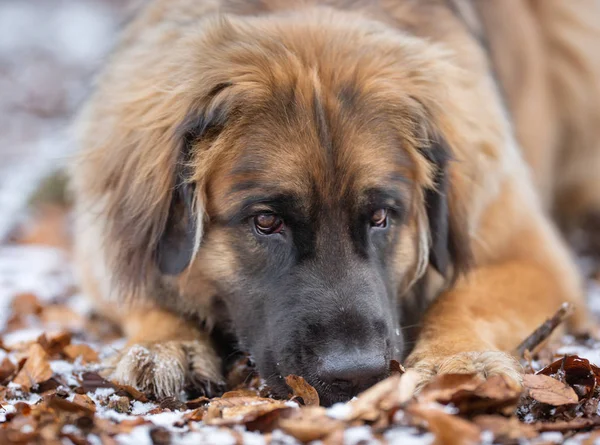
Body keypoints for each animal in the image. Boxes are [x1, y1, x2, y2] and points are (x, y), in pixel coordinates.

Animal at [70, 0, 600, 404]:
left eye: (381, 216)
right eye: (266, 221)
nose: (356, 374)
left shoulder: (527, 254)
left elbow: (465, 298)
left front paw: (457, 363)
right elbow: (138, 290)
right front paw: (164, 345)